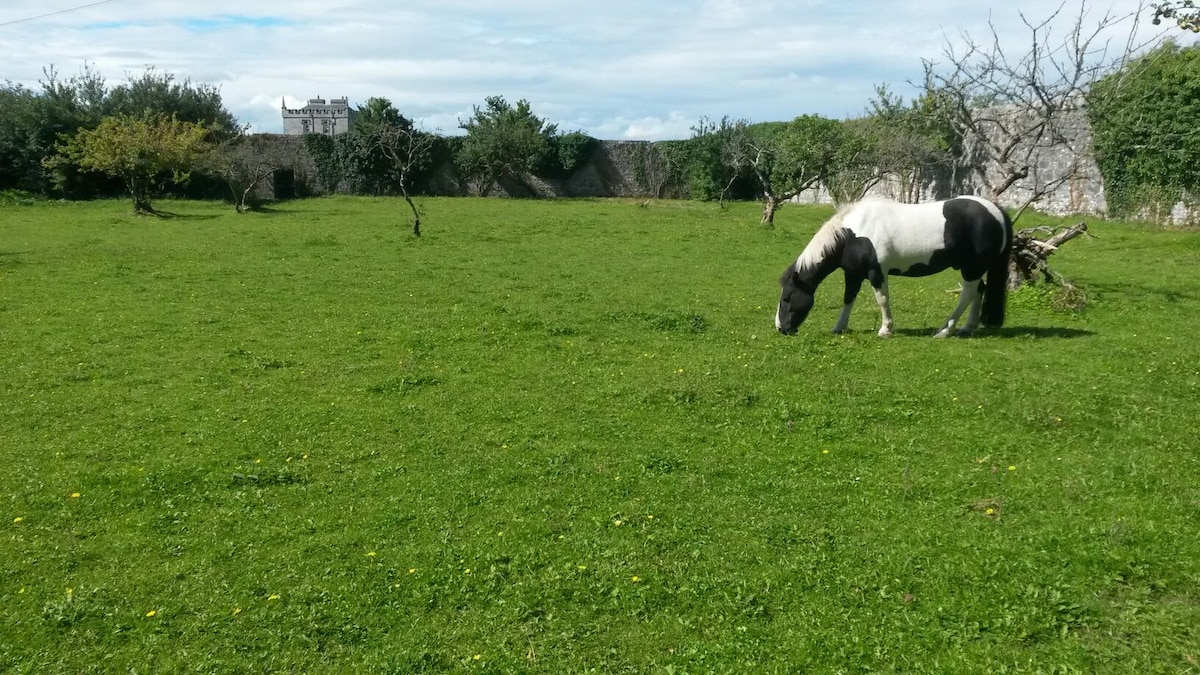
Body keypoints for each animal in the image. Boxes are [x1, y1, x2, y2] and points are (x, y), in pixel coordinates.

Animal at [777, 196, 1012, 338]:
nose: (781, 328)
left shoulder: (877, 273)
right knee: (978, 291)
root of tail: (996, 210)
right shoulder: (853, 274)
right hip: (973, 268)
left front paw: (885, 329)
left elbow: (882, 299)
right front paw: (839, 327)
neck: (852, 235)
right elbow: (848, 298)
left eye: (787, 297)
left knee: (967, 294)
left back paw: (945, 330)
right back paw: (968, 327)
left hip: (972, 268)